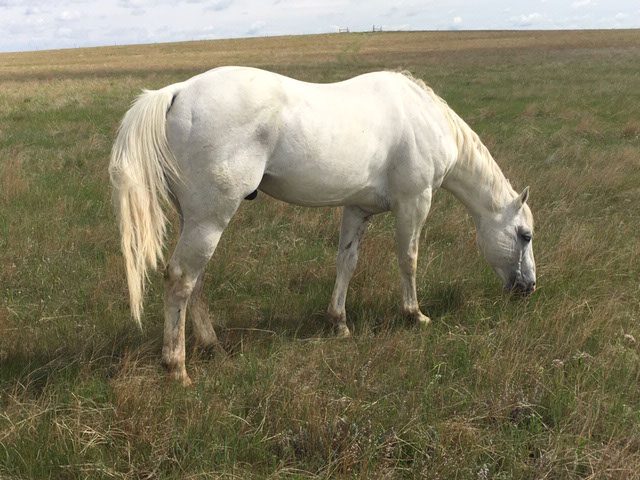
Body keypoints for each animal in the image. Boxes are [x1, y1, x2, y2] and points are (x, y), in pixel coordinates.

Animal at [109, 66, 536, 386]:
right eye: (524, 235)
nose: (529, 287)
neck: (425, 118)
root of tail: (178, 92)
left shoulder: (357, 208)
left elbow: (346, 262)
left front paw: (339, 322)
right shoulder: (415, 202)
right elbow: (409, 259)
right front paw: (414, 315)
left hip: (196, 219)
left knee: (195, 281)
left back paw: (211, 344)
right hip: (210, 218)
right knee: (181, 278)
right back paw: (177, 368)